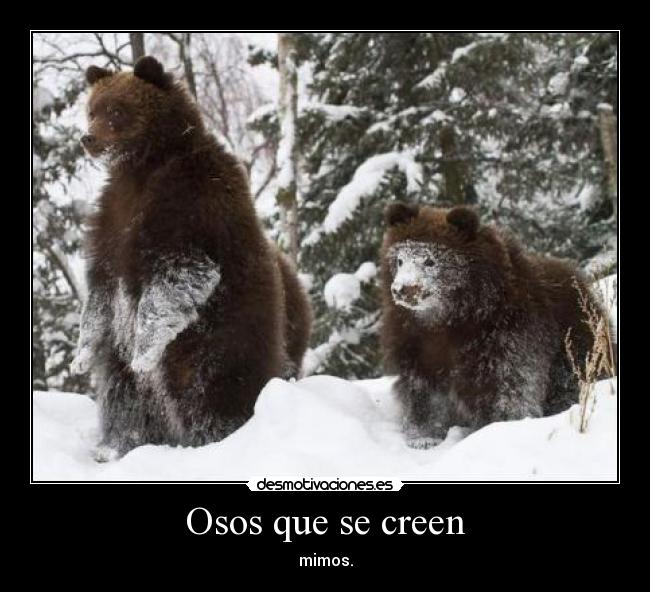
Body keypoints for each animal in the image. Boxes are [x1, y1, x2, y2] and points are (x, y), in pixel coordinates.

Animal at [71, 56, 312, 459]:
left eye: (117, 111)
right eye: (92, 109)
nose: (88, 138)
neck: (143, 166)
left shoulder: (191, 206)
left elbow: (179, 274)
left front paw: (144, 350)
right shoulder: (110, 223)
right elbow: (100, 292)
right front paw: (81, 355)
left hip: (221, 337)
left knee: (211, 391)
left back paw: (213, 436)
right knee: (123, 394)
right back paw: (118, 445)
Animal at [380, 201, 610, 449]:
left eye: (430, 260)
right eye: (400, 259)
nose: (402, 289)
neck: (449, 318)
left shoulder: (504, 333)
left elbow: (508, 386)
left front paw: (496, 429)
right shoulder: (415, 341)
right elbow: (422, 390)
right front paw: (423, 436)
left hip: (576, 337)